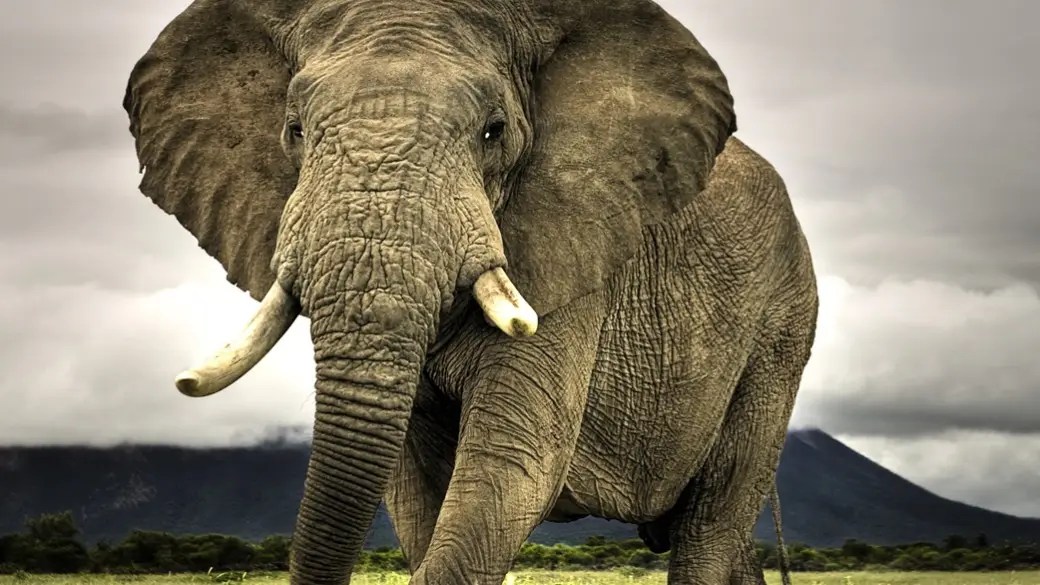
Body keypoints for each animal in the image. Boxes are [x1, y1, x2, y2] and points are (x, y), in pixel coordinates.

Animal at [121, 0, 818, 584]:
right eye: (293, 130)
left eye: (494, 131)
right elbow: (414, 493)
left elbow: (511, 469)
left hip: (781, 329)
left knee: (710, 524)